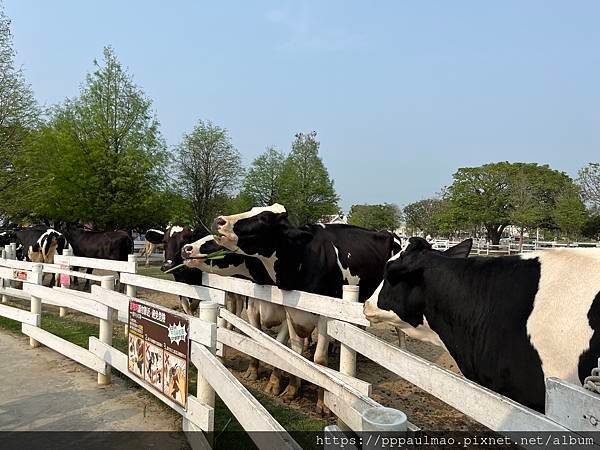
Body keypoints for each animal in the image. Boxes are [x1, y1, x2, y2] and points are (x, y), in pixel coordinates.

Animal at [213, 204, 400, 412]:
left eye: (264, 218)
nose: (219, 220)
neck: (302, 259)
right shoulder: (291, 311)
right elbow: (295, 351)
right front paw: (292, 390)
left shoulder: (325, 314)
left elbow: (319, 360)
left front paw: (322, 403)